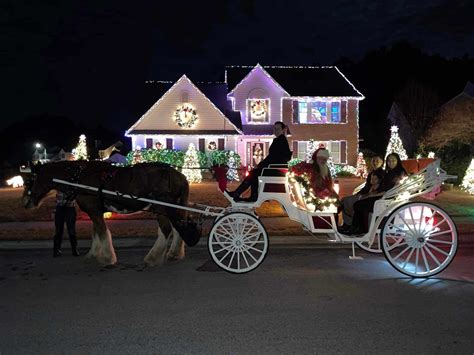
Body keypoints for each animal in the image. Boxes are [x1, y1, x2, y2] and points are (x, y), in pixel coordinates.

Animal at [21, 161, 200, 268]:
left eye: (29, 180)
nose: (24, 202)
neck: (80, 177)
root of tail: (179, 176)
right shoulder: (95, 211)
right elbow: (95, 233)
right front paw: (93, 254)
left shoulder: (94, 211)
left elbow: (102, 233)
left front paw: (108, 258)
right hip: (172, 206)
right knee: (178, 228)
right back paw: (174, 254)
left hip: (161, 207)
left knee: (166, 230)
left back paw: (153, 257)